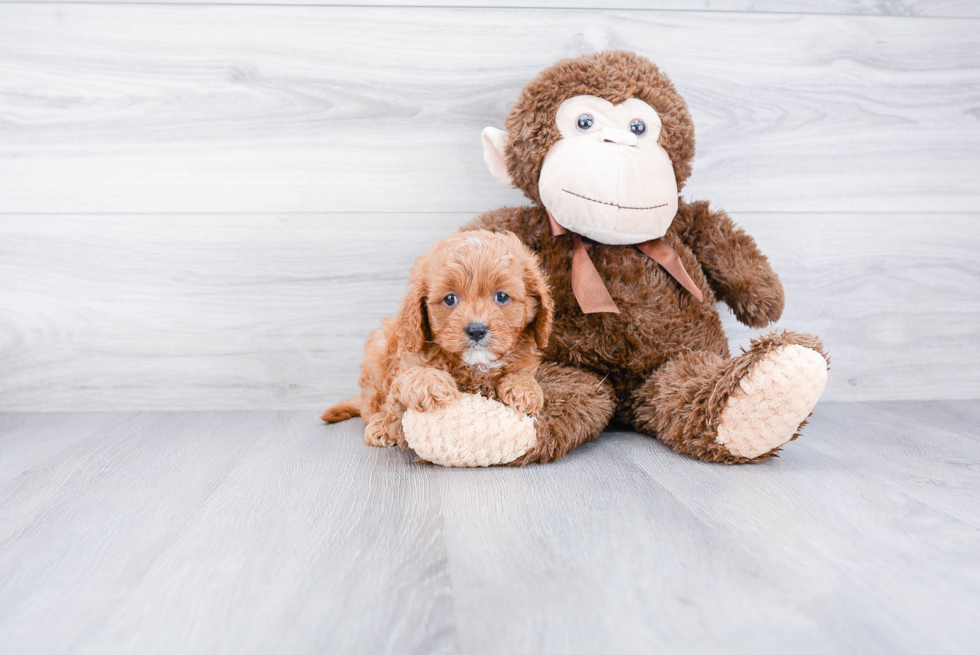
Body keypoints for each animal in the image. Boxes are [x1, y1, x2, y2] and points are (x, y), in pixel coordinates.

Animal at [322, 231, 552, 452]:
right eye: (450, 299)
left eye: (502, 296)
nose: (476, 330)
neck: (476, 366)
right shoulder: (405, 361)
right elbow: (406, 385)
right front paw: (429, 383)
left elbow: (522, 373)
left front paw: (524, 389)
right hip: (377, 348)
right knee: (371, 406)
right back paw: (380, 426)